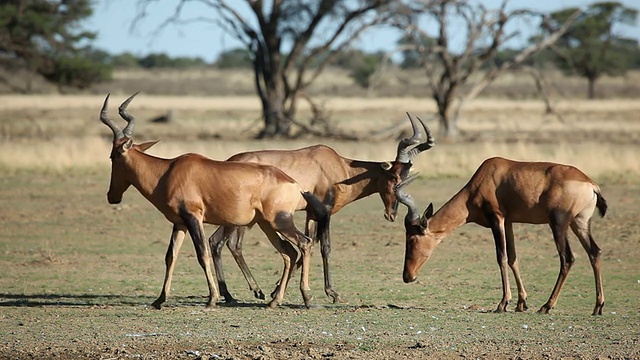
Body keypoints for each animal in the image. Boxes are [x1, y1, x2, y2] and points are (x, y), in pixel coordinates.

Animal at [101, 93, 330, 310]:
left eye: (113, 156)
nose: (112, 196)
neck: (168, 171)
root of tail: (295, 184)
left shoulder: (193, 217)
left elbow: (202, 254)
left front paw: (212, 299)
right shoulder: (179, 222)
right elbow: (170, 256)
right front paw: (159, 300)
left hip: (280, 221)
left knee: (305, 243)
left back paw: (307, 297)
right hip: (266, 224)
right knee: (289, 252)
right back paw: (274, 301)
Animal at [210, 113, 436, 304]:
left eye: (406, 178)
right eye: (393, 177)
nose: (391, 214)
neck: (340, 167)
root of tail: (228, 161)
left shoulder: (311, 214)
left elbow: (309, 243)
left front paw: (277, 291)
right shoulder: (325, 212)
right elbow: (325, 246)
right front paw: (332, 293)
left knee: (227, 243)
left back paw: (243, 293)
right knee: (220, 242)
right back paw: (232, 294)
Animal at [392, 158, 608, 316]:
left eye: (412, 239)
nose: (407, 276)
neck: (487, 176)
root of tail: (591, 184)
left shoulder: (497, 219)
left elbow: (501, 257)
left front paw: (503, 303)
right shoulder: (509, 222)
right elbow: (513, 258)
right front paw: (521, 303)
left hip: (559, 224)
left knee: (567, 258)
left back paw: (547, 306)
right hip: (580, 223)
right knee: (595, 252)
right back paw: (598, 307)